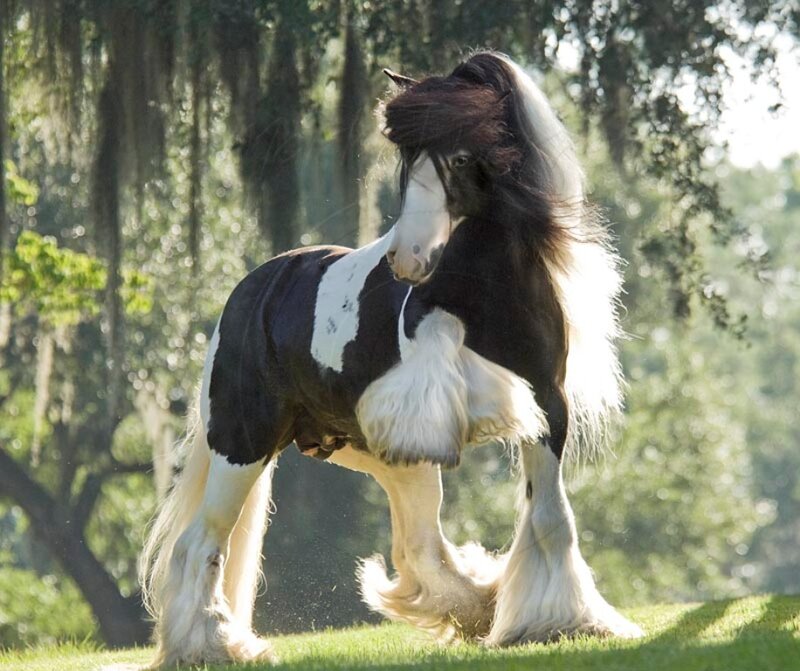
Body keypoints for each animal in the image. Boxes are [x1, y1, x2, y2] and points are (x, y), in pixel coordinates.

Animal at [138, 50, 643, 668]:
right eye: (408, 158)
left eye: (460, 156)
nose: (408, 260)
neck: (494, 289)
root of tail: (250, 292)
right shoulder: (427, 389)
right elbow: (450, 358)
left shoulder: (550, 405)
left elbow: (551, 515)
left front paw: (563, 624)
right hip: (243, 443)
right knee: (200, 542)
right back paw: (213, 645)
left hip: (381, 454)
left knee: (418, 547)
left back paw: (477, 608)